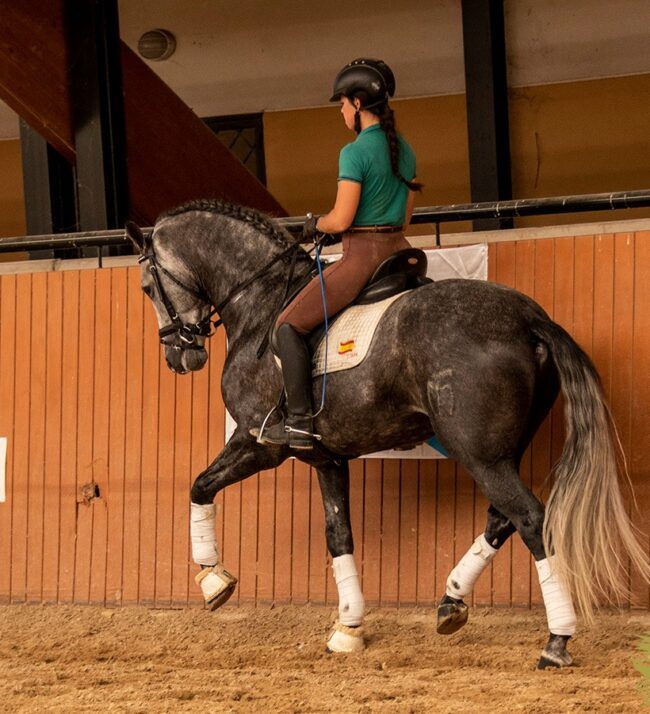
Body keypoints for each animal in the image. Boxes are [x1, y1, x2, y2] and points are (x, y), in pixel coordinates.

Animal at [125, 198, 649, 669]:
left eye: (148, 286)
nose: (179, 356)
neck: (261, 300)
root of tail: (528, 318)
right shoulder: (326, 457)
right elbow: (339, 535)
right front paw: (348, 627)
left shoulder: (259, 441)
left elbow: (199, 485)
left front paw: (213, 579)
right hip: (500, 451)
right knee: (501, 519)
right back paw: (451, 602)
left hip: (480, 455)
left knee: (530, 519)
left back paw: (556, 640)